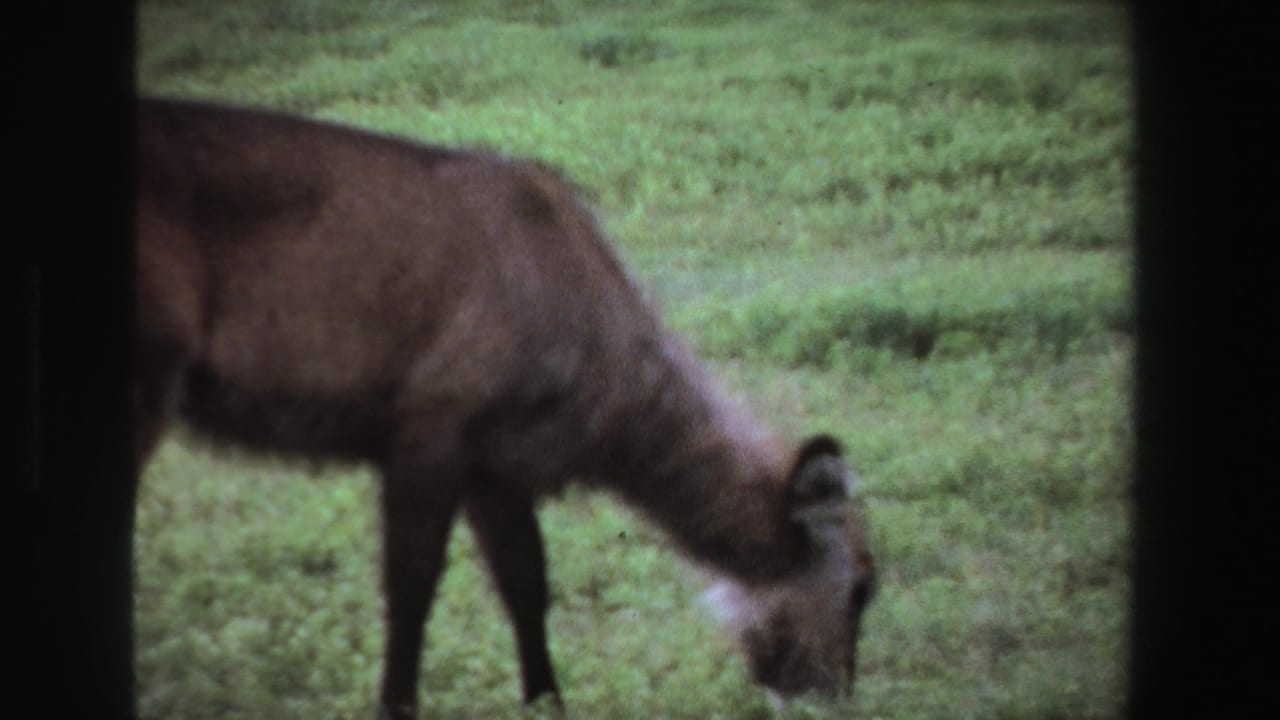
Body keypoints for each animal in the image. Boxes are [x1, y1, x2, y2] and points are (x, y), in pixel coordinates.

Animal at [135, 96, 877, 719]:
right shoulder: (431, 426)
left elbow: (527, 585)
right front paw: (397, 705)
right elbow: (411, 586)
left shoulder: (498, 465)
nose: (836, 692)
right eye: (863, 588)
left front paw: (548, 700)